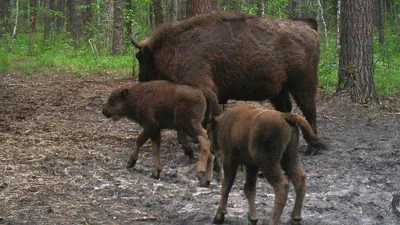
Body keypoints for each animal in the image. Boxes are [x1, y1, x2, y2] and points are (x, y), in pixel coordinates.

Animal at [133, 12, 320, 149]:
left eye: (140, 57)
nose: (141, 78)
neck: (174, 46)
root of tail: (307, 27)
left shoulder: (201, 86)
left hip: (303, 84)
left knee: (309, 110)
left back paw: (313, 146)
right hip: (280, 90)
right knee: (287, 109)